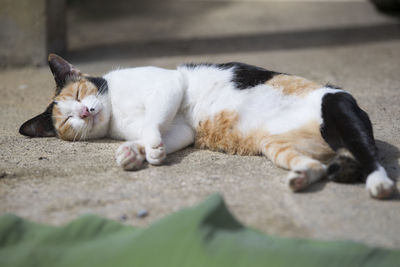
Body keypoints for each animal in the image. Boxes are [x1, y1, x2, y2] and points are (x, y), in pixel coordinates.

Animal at [18, 54, 394, 200]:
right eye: (67, 119)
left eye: (78, 93)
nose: (84, 112)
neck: (115, 111)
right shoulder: (182, 128)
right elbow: (161, 133)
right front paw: (134, 153)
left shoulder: (168, 86)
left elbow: (153, 119)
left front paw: (147, 148)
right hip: (277, 146)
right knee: (315, 166)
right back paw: (300, 178)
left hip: (338, 110)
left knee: (371, 158)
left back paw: (379, 184)